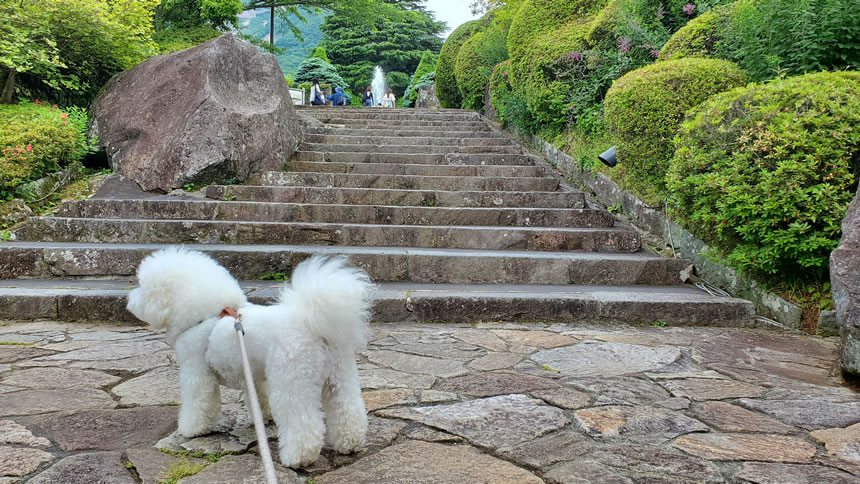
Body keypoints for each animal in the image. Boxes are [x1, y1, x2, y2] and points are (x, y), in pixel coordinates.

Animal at [126, 248, 374, 466]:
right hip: (340, 376)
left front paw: (192, 429)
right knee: (348, 409)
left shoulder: (196, 372)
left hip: (292, 380)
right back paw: (350, 443)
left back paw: (297, 458)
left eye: (143, 287)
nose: (130, 301)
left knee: (302, 423)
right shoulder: (253, 373)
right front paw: (262, 418)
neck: (207, 316)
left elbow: (198, 403)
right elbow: (259, 397)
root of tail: (311, 323)